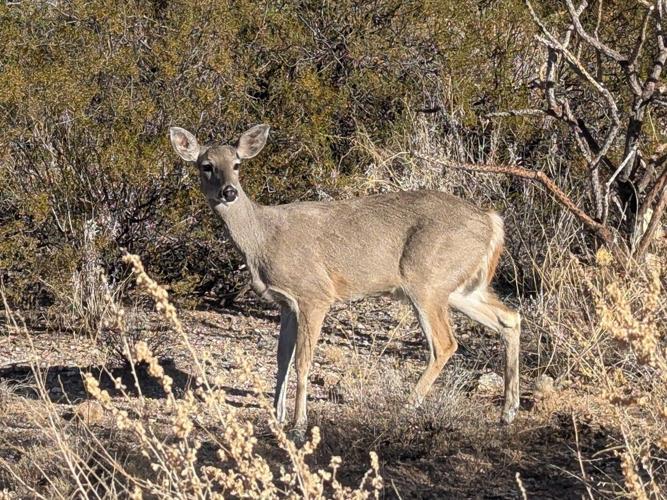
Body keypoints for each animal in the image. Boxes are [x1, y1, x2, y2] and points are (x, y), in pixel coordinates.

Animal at [169, 124, 521, 439]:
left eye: (237, 164)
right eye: (206, 166)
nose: (229, 192)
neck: (263, 239)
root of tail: (492, 220)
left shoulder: (314, 294)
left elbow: (302, 362)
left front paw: (298, 426)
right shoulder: (286, 304)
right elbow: (281, 360)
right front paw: (276, 417)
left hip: (426, 280)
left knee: (445, 343)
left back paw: (405, 408)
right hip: (458, 286)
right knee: (509, 318)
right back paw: (507, 412)